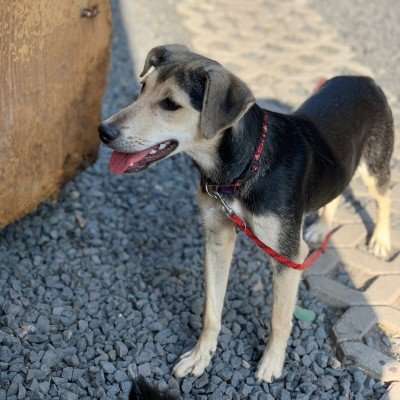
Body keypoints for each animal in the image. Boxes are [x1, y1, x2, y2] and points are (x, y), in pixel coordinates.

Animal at [99, 44, 394, 382]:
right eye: (142, 88)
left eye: (170, 104)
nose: (103, 131)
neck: (242, 166)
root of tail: (362, 78)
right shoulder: (217, 237)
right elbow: (212, 311)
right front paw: (201, 356)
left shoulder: (288, 255)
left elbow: (280, 319)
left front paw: (272, 363)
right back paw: (322, 227)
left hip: (373, 165)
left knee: (384, 197)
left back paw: (381, 241)